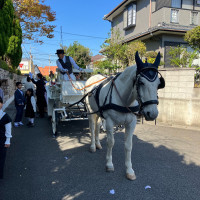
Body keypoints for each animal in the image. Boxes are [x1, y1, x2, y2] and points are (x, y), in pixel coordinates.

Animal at [84, 52, 164, 180]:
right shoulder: (110, 122)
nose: (152, 113)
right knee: (92, 127)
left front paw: (129, 170)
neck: (125, 100)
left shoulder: (131, 124)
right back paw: (92, 146)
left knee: (97, 126)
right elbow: (111, 142)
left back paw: (97, 144)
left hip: (99, 113)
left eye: (158, 84)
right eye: (141, 82)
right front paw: (109, 164)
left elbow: (128, 145)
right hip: (90, 111)